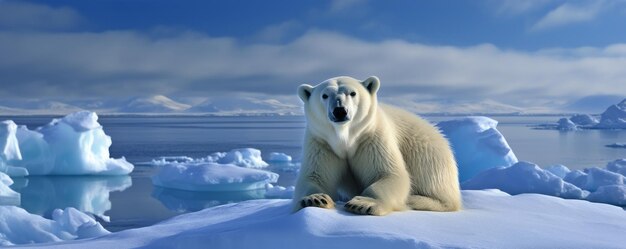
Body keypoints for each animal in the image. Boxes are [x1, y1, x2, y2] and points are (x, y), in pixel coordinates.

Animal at [292, 75, 458, 215]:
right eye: (324, 95)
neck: (345, 137)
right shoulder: (321, 142)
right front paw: (315, 199)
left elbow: (390, 173)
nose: (340, 111)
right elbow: (315, 175)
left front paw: (363, 203)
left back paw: (417, 200)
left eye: (352, 93)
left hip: (429, 156)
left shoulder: (372, 138)